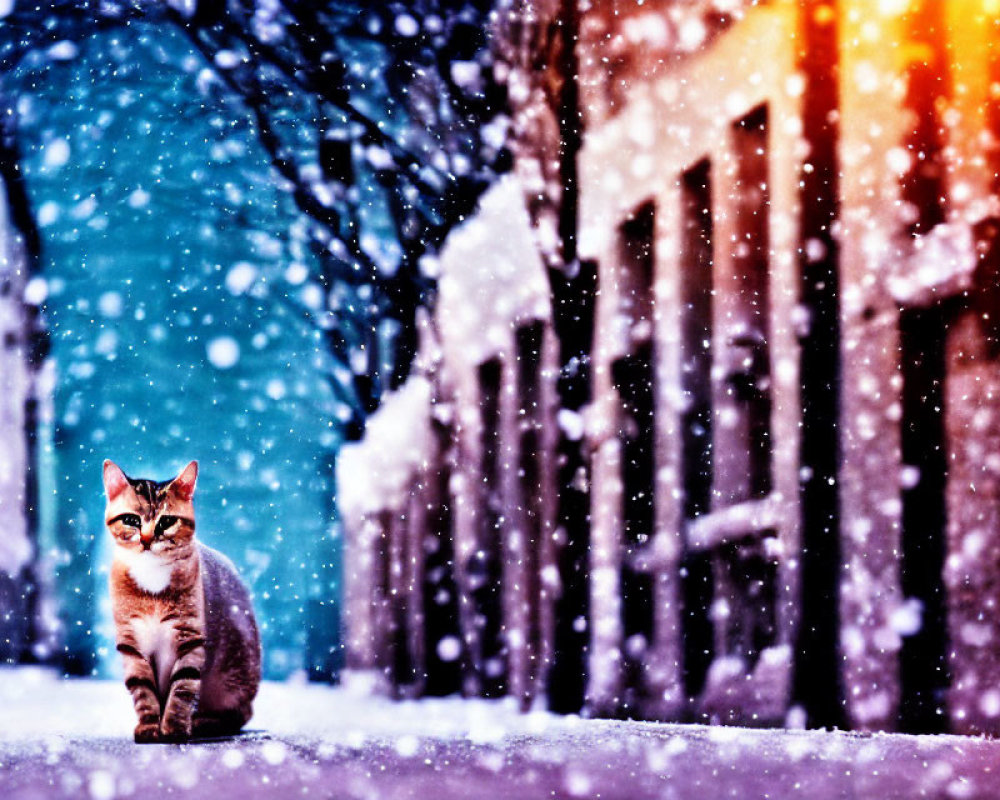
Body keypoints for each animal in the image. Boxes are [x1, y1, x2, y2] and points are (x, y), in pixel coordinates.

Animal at [103, 460, 262, 748]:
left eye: (167, 521)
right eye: (131, 520)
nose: (146, 540)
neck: (152, 579)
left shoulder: (190, 638)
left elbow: (183, 687)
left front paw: (175, 727)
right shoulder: (131, 643)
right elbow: (142, 690)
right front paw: (149, 726)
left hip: (233, 678)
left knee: (239, 714)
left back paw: (203, 722)